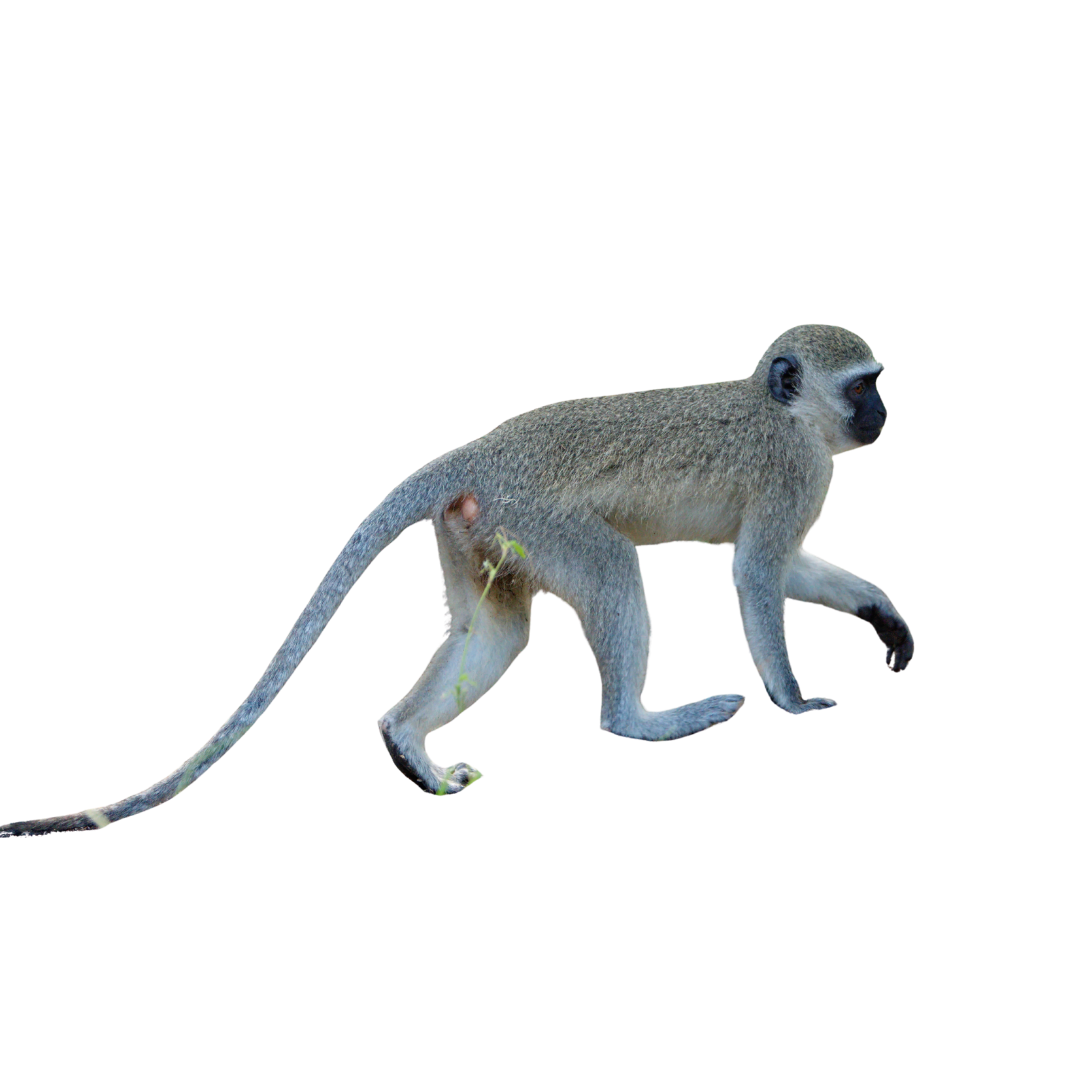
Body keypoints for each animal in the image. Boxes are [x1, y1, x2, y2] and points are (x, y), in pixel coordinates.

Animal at [1, 323, 913, 835]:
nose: (883, 414)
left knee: (499, 632)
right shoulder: (795, 468)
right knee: (612, 570)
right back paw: (641, 721)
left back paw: (409, 743)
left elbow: (791, 567)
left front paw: (883, 617)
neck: (786, 412)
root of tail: (481, 450)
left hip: (481, 529)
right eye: (862, 387)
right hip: (537, 515)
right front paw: (795, 702)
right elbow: (758, 572)